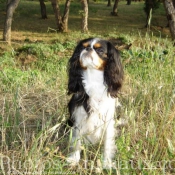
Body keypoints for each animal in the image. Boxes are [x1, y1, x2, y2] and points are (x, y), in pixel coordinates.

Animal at [66, 37, 123, 167]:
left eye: (100, 50)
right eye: (83, 47)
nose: (88, 49)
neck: (93, 80)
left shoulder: (108, 121)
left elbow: (107, 144)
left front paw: (106, 163)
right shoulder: (79, 119)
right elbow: (77, 142)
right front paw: (74, 159)